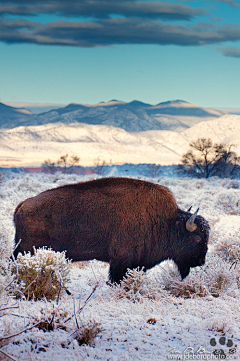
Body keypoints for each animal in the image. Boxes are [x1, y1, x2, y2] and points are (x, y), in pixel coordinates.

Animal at [13, 176, 209, 282]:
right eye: (197, 238)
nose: (201, 261)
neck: (167, 222)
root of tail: (23, 204)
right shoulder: (120, 261)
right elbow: (116, 279)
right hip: (27, 249)